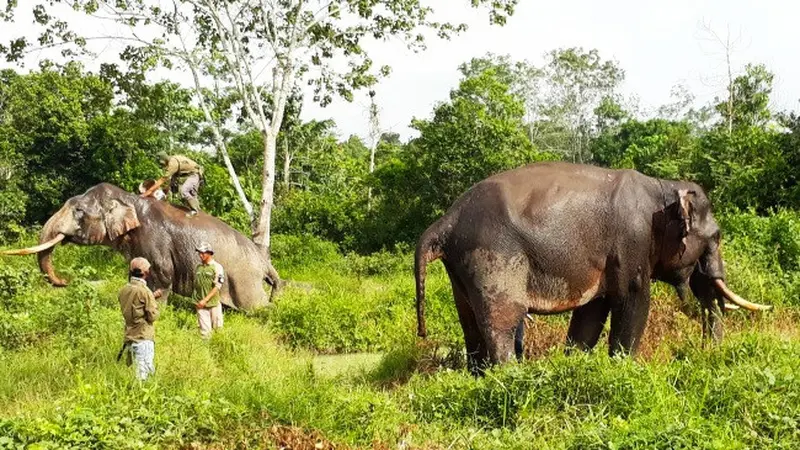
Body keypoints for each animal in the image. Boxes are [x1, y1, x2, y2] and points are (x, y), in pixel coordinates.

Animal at [2, 183, 282, 310]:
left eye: (79, 210)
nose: (65, 281)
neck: (130, 200)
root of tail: (265, 262)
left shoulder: (154, 239)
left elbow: (163, 275)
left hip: (245, 281)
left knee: (255, 307)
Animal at [412, 161, 768, 372]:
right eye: (716, 237)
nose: (707, 353)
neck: (662, 187)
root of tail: (446, 220)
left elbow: (591, 314)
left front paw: (576, 365)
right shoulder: (632, 243)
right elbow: (634, 302)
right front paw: (625, 370)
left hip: (461, 268)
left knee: (470, 323)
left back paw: (479, 376)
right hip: (493, 257)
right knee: (501, 321)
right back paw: (511, 376)